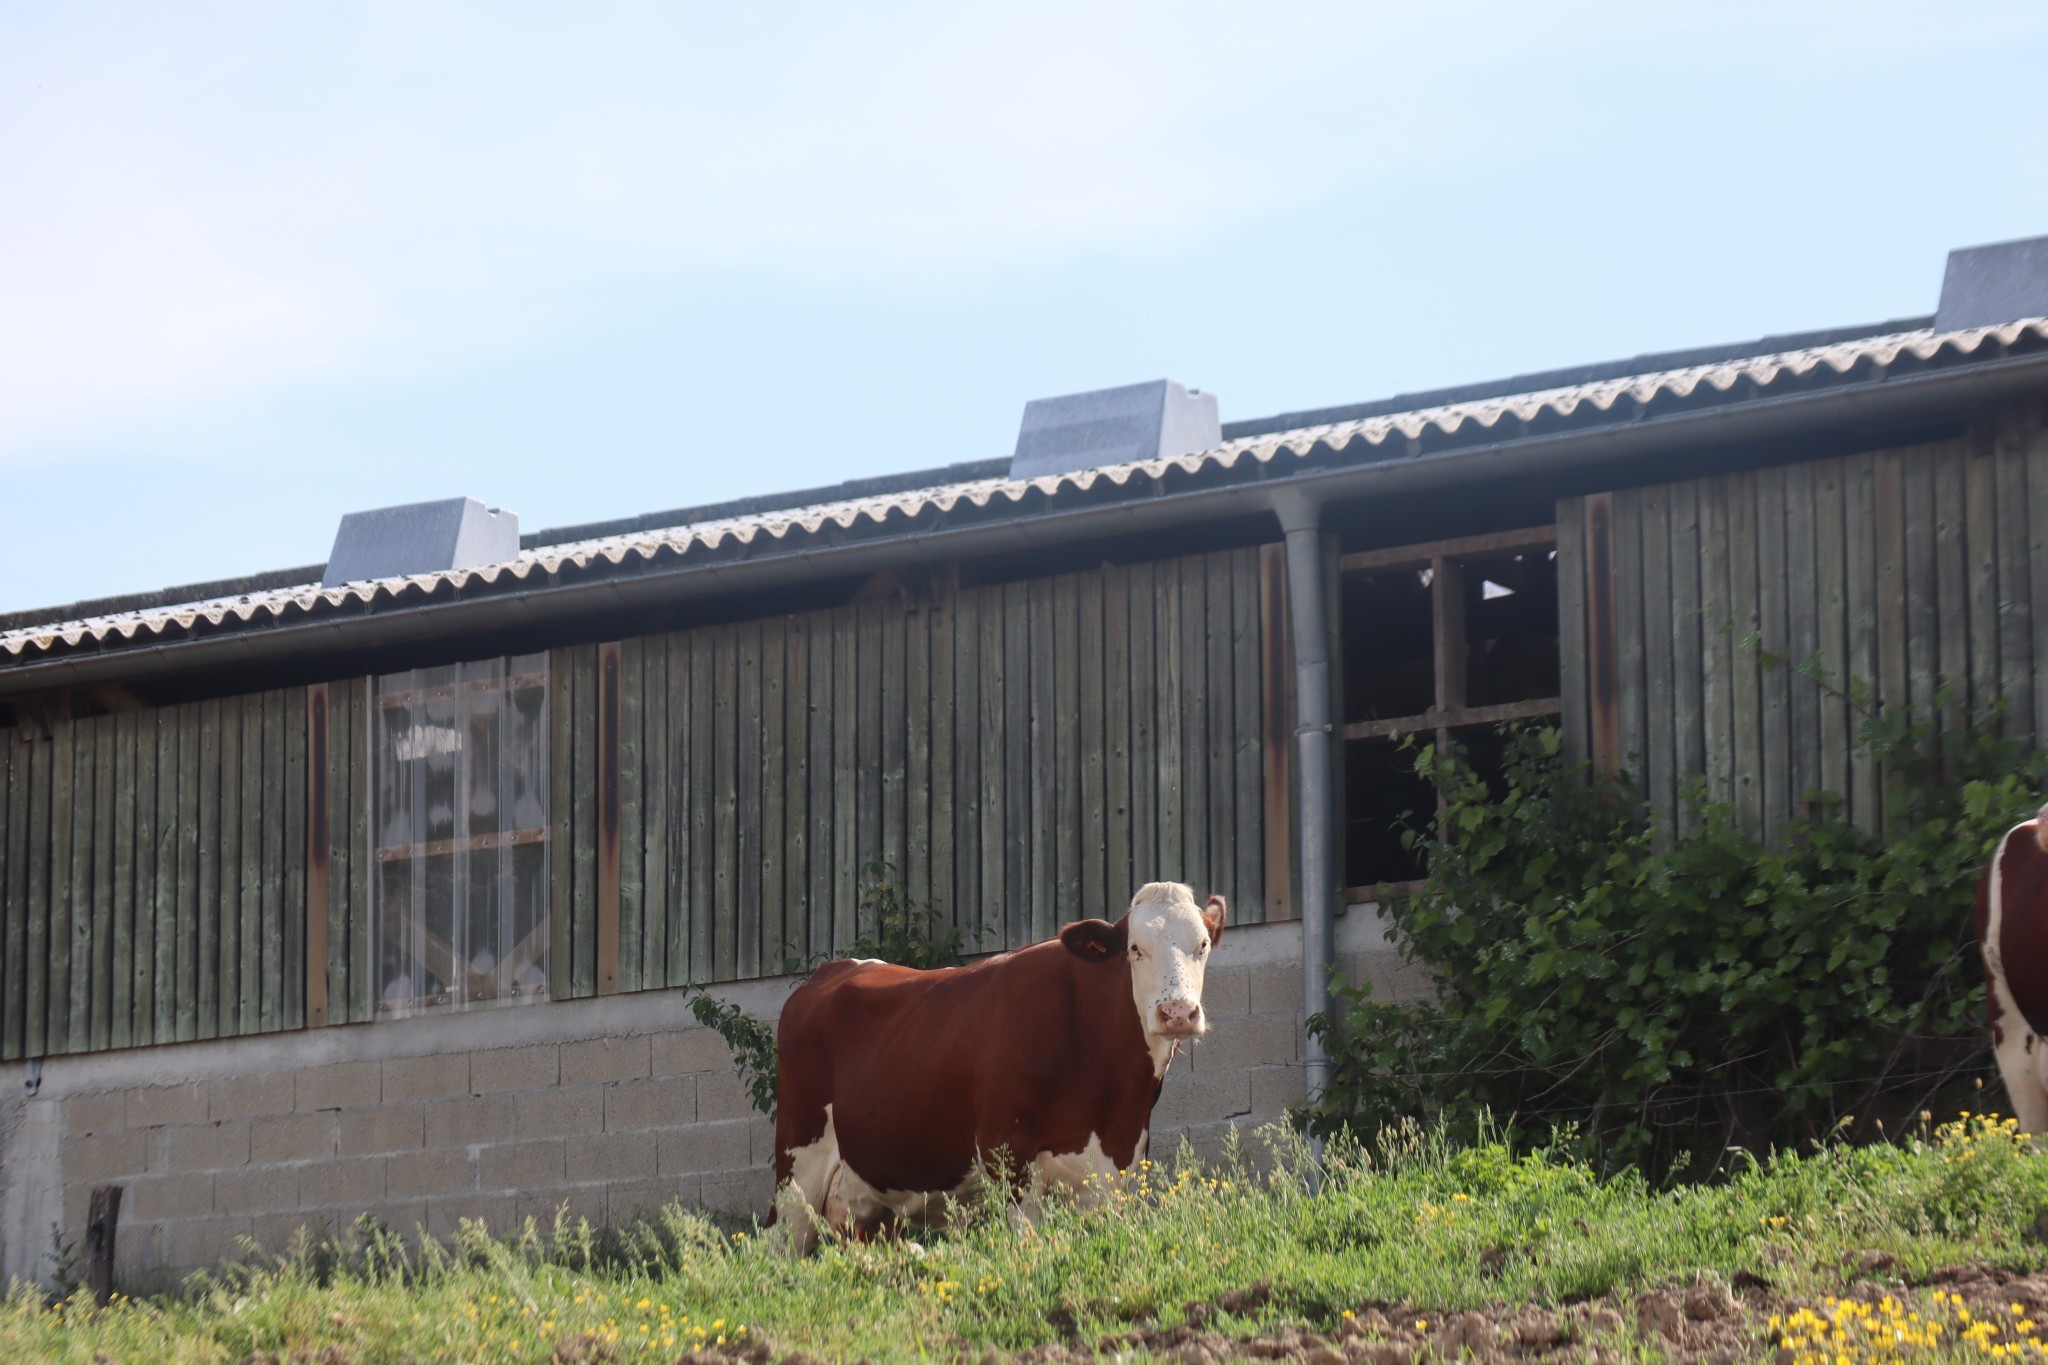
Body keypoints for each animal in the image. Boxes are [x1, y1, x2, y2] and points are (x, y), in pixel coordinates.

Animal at [770, 879, 1220, 1244]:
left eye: (1203, 945)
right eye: (1134, 949)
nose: (1177, 1012)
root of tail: (830, 971)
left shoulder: (1115, 1163)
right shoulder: (1005, 1151)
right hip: (797, 1169)